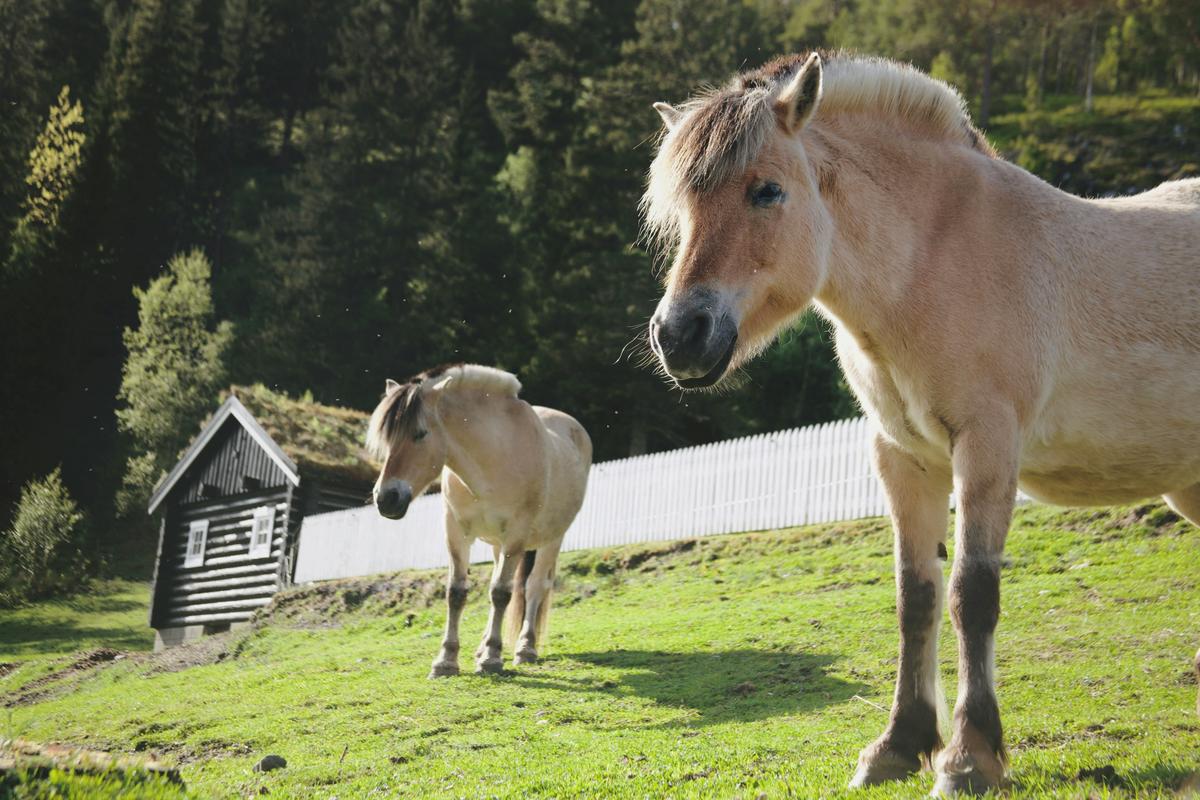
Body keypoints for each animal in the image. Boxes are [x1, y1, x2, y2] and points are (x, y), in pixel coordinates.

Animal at [364, 367, 590, 681]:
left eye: (420, 434)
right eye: (386, 440)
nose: (386, 498)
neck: (492, 460)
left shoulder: (516, 535)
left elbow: (501, 592)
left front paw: (493, 658)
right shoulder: (456, 532)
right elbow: (457, 593)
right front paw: (446, 660)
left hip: (551, 539)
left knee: (533, 587)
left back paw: (525, 649)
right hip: (497, 545)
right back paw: (483, 647)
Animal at [648, 53, 1200, 796]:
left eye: (767, 191)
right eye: (680, 208)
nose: (680, 336)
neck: (934, 263)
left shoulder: (987, 448)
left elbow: (972, 593)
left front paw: (970, 756)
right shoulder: (903, 458)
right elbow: (917, 598)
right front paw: (899, 746)